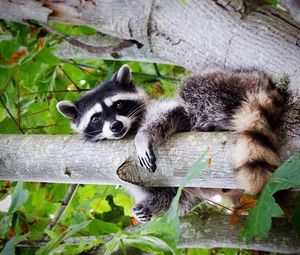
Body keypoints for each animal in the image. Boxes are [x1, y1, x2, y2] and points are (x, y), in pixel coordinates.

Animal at [56, 64, 286, 222]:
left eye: (119, 105)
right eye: (96, 118)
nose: (115, 126)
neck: (129, 129)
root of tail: (264, 80)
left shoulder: (167, 110)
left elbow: (175, 114)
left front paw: (144, 136)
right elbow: (177, 195)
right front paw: (151, 206)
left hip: (231, 82)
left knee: (193, 86)